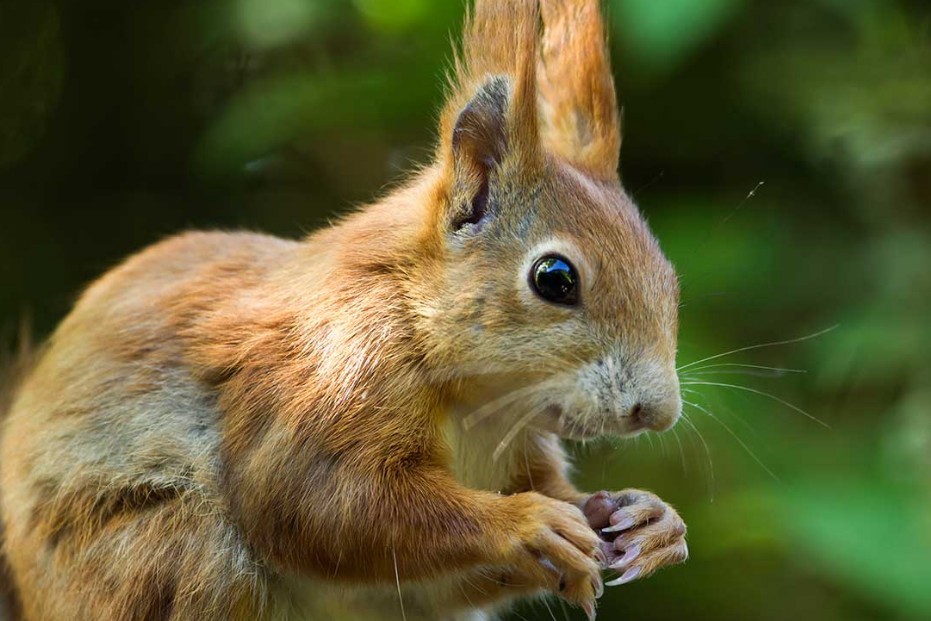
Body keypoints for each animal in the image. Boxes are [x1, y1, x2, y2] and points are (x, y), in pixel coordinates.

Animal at [0, 0, 684, 616]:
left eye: (670, 279)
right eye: (555, 279)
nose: (658, 413)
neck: (479, 404)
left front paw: (645, 517)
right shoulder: (333, 376)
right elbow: (317, 501)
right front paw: (523, 522)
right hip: (173, 554)